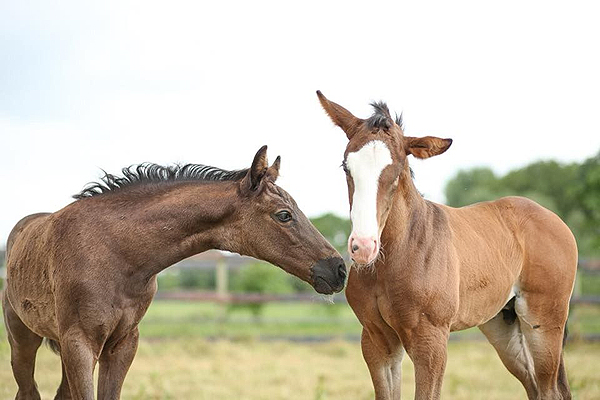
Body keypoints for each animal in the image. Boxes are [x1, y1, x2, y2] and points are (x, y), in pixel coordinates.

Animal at [1, 145, 346, 398]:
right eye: (284, 214)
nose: (338, 269)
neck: (116, 253)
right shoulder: (80, 344)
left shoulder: (122, 344)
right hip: (23, 340)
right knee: (28, 390)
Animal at [318, 91, 576, 400]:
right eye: (347, 167)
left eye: (398, 168)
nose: (363, 247)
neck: (394, 258)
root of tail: (554, 219)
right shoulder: (376, 340)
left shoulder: (431, 341)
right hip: (503, 325)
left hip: (544, 321)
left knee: (550, 389)